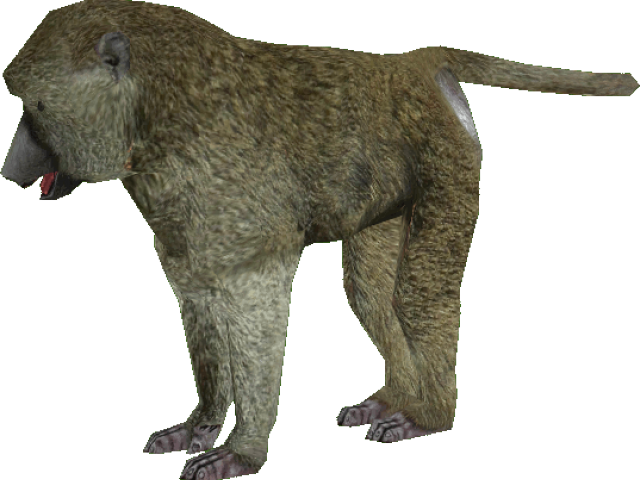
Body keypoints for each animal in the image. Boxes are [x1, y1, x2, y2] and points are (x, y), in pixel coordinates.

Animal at [1, 0, 636, 479]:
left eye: (35, 106)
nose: (9, 168)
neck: (155, 108)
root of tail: (409, 66)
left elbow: (255, 301)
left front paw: (241, 453)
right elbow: (199, 300)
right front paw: (199, 424)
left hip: (446, 158)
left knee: (414, 298)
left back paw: (427, 417)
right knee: (373, 295)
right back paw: (394, 398)